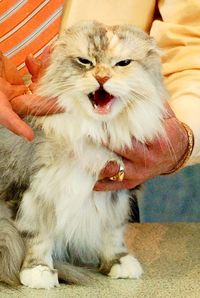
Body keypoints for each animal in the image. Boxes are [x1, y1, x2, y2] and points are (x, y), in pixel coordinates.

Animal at [0, 19, 166, 288]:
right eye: (85, 61)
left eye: (122, 63)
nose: (102, 77)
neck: (94, 130)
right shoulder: (32, 191)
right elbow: (36, 237)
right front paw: (38, 273)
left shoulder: (117, 191)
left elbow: (113, 232)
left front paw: (119, 262)